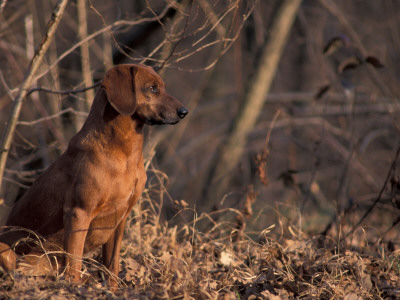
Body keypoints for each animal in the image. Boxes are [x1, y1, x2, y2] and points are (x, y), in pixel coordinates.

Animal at [0, 63, 188, 284]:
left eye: (162, 87)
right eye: (152, 88)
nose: (184, 111)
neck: (125, 154)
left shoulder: (121, 219)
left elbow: (112, 267)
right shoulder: (79, 213)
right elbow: (74, 263)